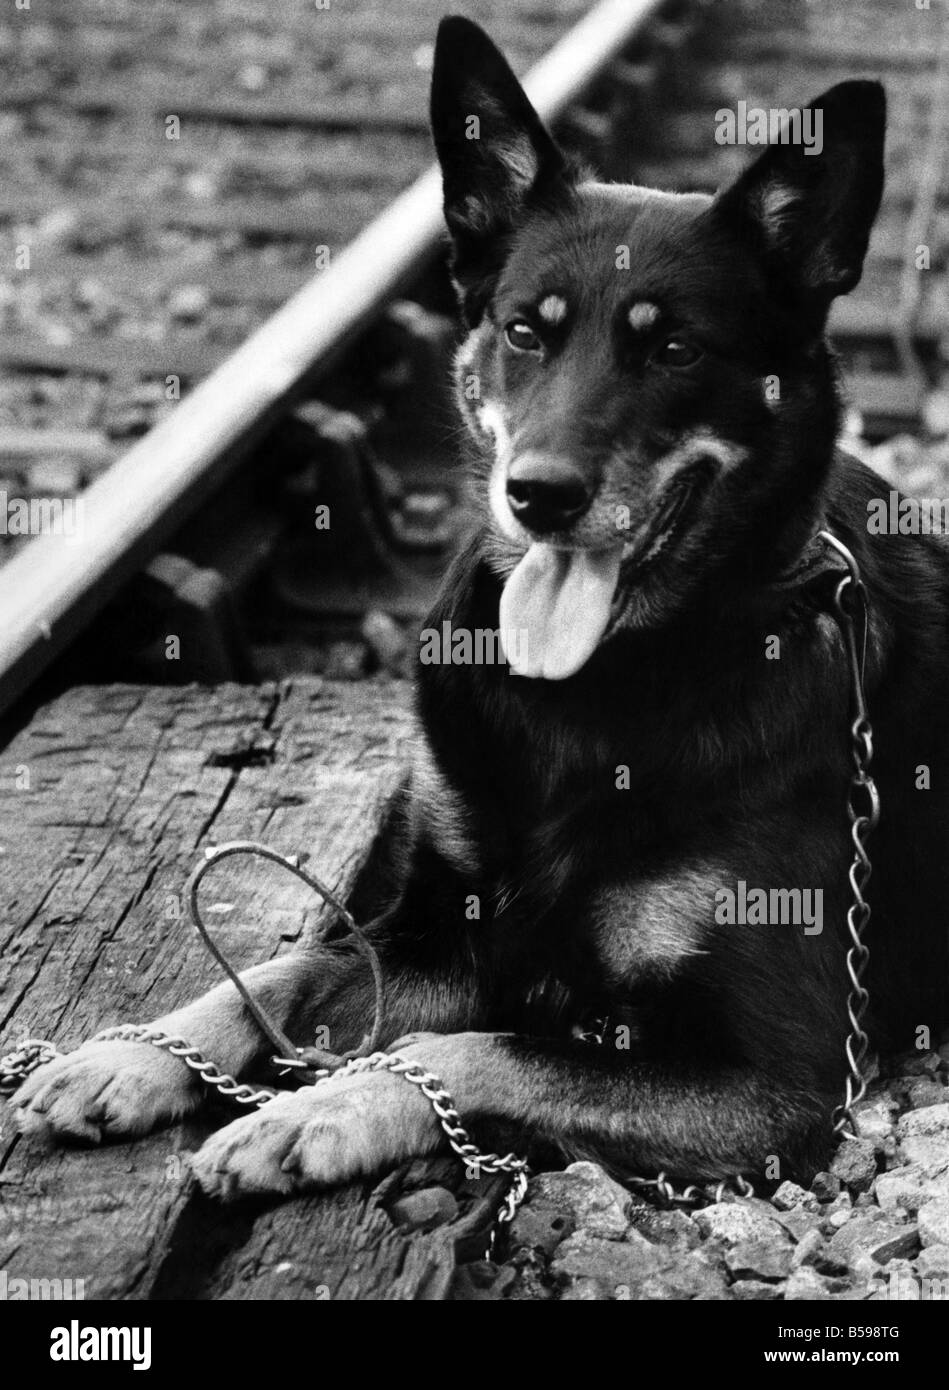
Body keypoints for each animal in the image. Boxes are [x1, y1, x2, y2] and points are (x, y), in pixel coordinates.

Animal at [14, 19, 949, 1195]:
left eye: (675, 347)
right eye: (523, 332)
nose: (538, 493)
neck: (597, 689)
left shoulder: (773, 1080)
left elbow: (467, 1050)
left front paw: (318, 1111)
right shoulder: (436, 931)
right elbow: (278, 976)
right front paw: (135, 1052)